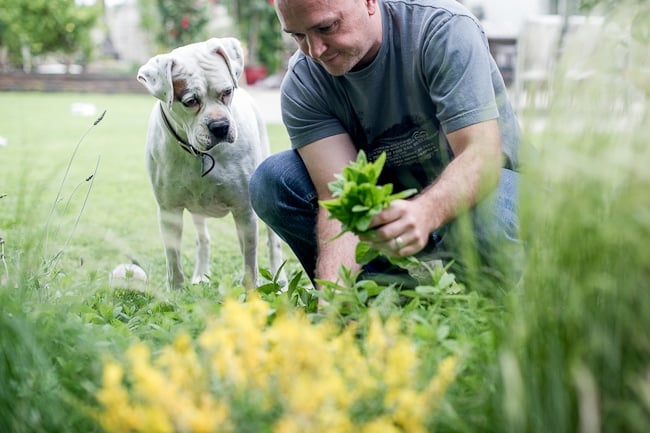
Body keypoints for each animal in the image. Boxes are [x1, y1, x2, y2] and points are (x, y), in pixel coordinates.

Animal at [137, 37, 284, 288]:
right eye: (190, 101)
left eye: (227, 91)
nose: (220, 126)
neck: (199, 153)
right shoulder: (169, 211)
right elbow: (173, 260)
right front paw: (176, 291)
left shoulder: (244, 210)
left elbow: (249, 261)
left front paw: (251, 292)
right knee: (203, 238)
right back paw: (201, 274)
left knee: (271, 241)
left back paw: (279, 278)